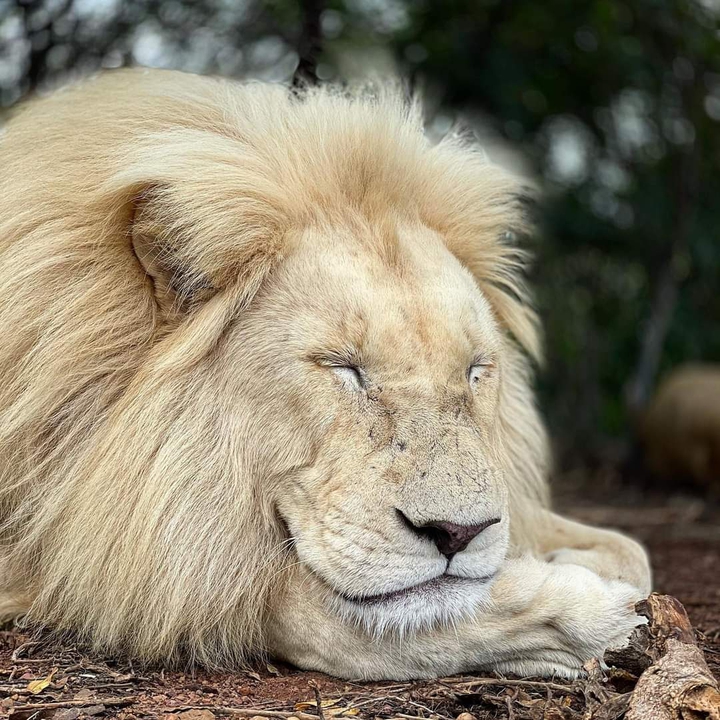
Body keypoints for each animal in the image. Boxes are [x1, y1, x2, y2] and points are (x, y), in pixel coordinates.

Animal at [0, 68, 650, 680]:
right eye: (344, 368)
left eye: (474, 371)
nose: (457, 533)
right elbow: (343, 624)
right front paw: (581, 614)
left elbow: (631, 551)